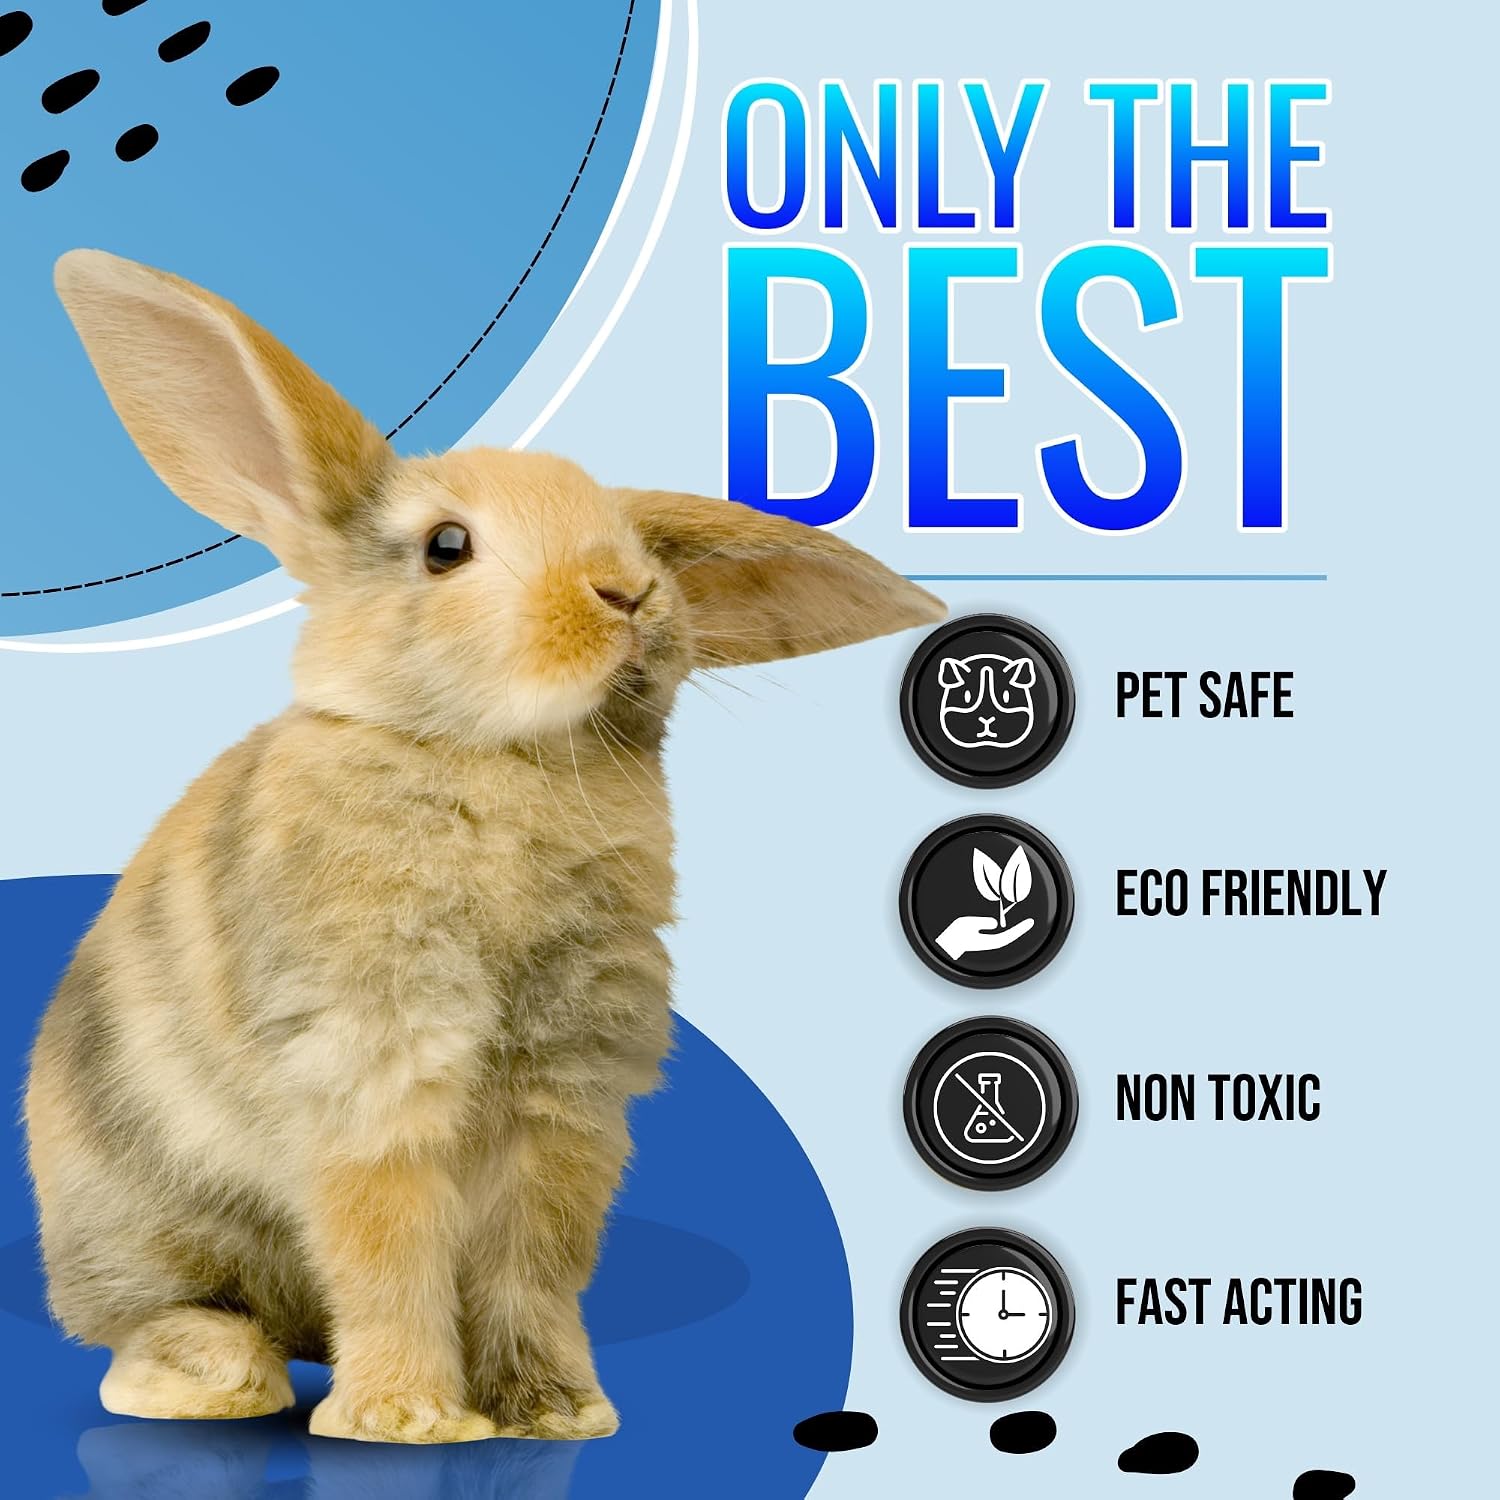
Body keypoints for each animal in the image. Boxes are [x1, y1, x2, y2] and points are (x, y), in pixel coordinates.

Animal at [23, 251, 945, 1445]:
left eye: (636, 543)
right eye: (446, 547)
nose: (630, 592)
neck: (502, 759)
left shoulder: (563, 1100)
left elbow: (535, 1266)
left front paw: (557, 1414)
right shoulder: (378, 1068)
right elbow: (387, 1248)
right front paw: (408, 1421)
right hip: (141, 1222)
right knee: (156, 1322)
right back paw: (217, 1383)